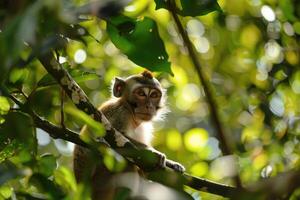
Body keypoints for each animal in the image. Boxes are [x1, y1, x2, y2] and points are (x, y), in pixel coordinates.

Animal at [73, 70, 185, 200]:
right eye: (141, 93)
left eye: (154, 95)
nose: (149, 106)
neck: (133, 117)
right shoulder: (120, 113)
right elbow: (108, 140)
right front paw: (153, 153)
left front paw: (172, 164)